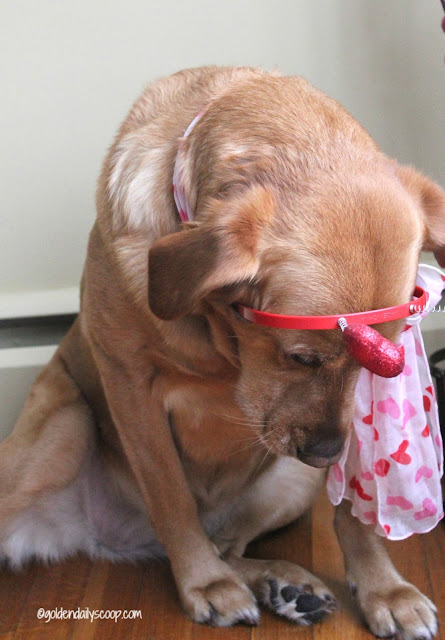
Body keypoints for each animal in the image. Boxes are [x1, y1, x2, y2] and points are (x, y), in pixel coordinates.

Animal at [0, 65, 444, 636]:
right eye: (301, 357)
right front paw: (205, 585)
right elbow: (171, 498)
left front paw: (384, 590)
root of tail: (107, 538)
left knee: (228, 544)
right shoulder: (130, 386)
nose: (327, 454)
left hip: (293, 482)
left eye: (381, 362)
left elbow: (355, 516)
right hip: (64, 428)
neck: (223, 344)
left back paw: (285, 586)